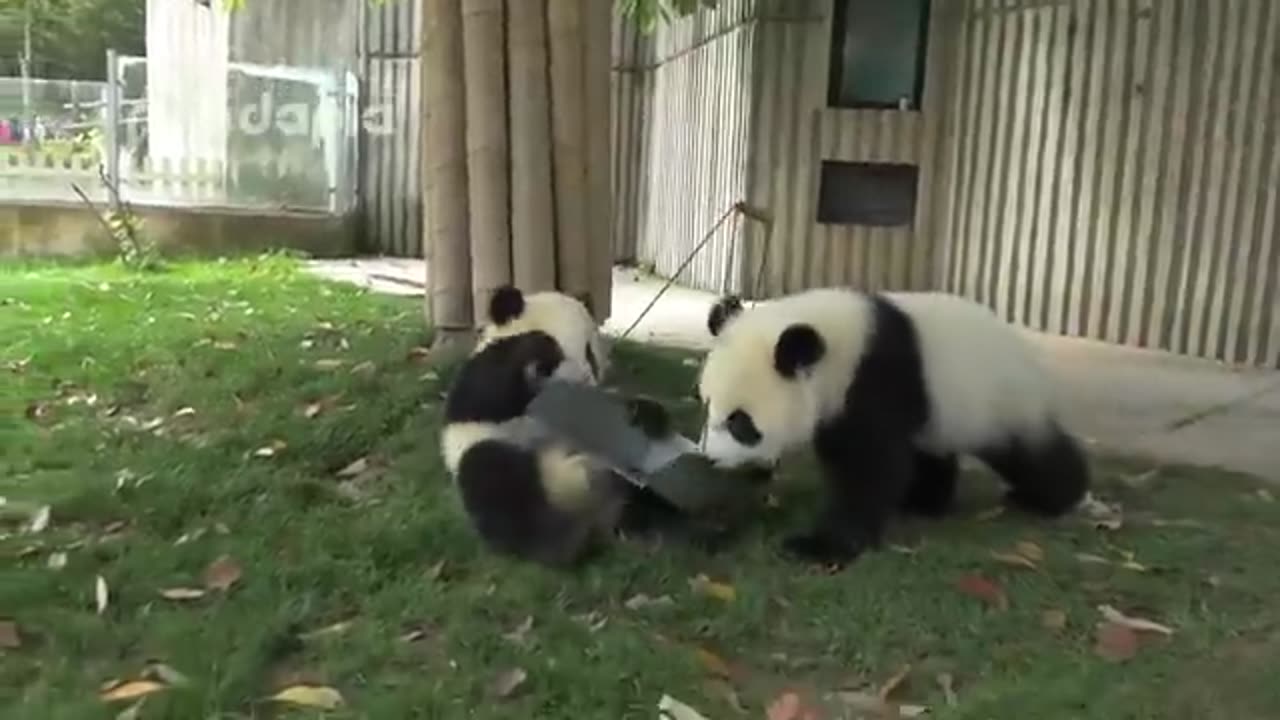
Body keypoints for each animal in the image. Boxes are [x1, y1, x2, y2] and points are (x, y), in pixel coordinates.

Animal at [701, 286, 1090, 566]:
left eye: (741, 422)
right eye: (706, 405)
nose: (710, 460)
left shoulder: (873, 381)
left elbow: (869, 467)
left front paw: (819, 546)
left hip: (999, 402)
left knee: (1032, 454)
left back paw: (1055, 496)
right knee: (932, 452)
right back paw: (923, 501)